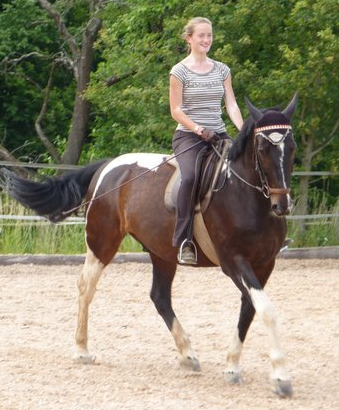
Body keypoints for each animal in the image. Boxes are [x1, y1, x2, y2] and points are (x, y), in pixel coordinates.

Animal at [0, 93, 298, 398]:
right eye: (262, 148)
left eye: (292, 147)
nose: (282, 205)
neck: (246, 196)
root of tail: (108, 167)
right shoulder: (233, 261)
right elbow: (265, 309)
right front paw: (280, 377)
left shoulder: (264, 263)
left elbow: (250, 309)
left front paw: (233, 367)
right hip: (102, 240)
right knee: (86, 286)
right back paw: (82, 350)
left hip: (161, 251)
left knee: (160, 296)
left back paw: (187, 355)